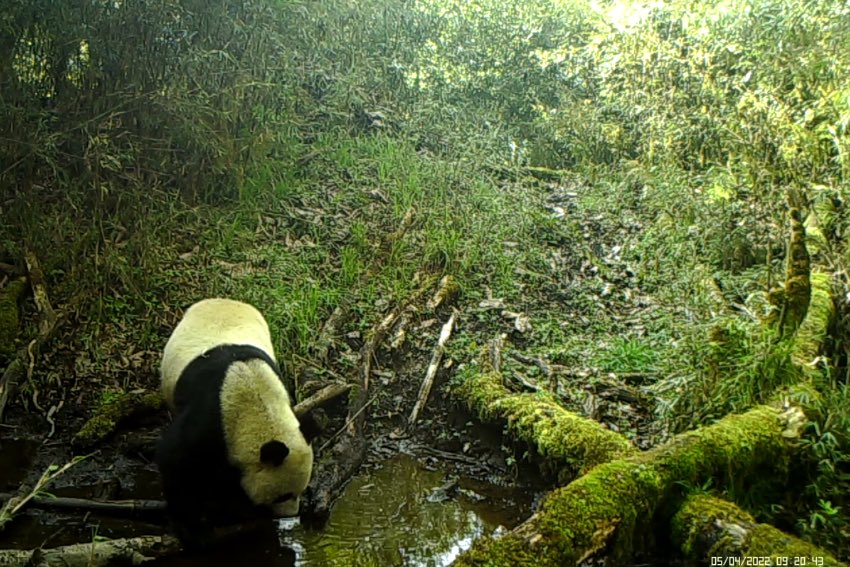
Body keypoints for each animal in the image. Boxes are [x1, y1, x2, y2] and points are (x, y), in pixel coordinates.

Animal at [153, 298, 318, 552]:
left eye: (300, 490)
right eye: (282, 496)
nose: (290, 515)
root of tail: (222, 300)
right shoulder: (208, 419)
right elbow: (175, 462)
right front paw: (193, 530)